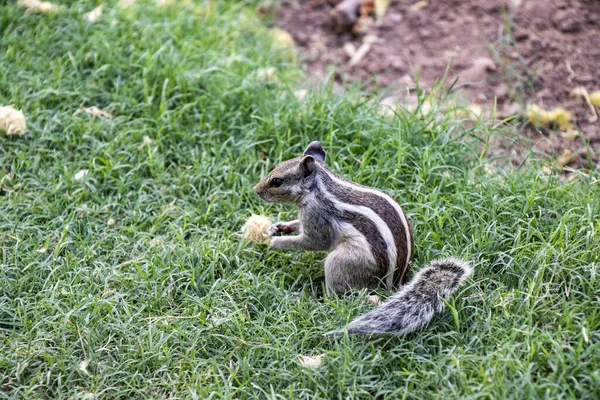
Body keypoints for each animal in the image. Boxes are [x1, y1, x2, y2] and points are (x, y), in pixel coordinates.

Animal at [251, 141, 472, 334]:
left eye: (277, 181)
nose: (255, 190)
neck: (319, 187)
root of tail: (392, 286)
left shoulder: (316, 216)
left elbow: (313, 242)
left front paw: (277, 242)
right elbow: (299, 226)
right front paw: (279, 227)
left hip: (341, 262)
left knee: (337, 295)